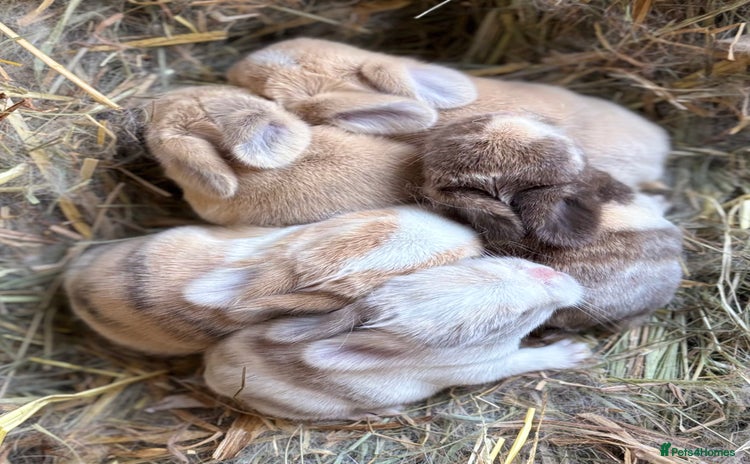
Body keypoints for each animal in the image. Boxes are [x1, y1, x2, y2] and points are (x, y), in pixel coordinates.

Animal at [204, 256, 591, 421]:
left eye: (487, 265)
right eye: (514, 318)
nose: (554, 276)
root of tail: (212, 371)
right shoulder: (485, 366)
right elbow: (525, 358)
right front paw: (574, 352)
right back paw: (385, 411)